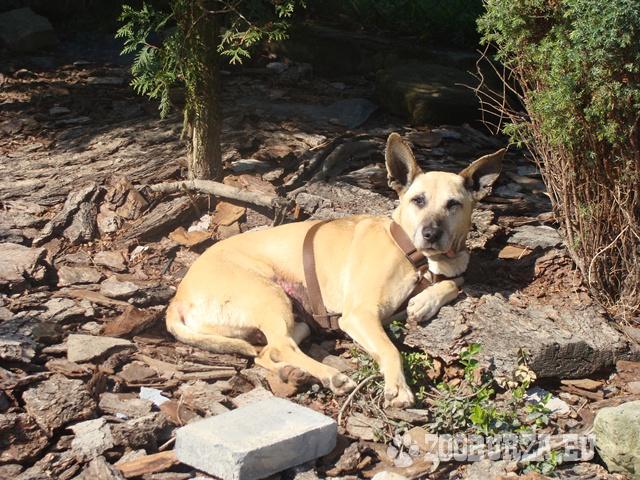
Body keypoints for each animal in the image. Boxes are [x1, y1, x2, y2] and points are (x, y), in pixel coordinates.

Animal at [167, 133, 504, 408]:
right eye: (417, 200)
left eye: (453, 204)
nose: (431, 234)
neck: (412, 251)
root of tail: (177, 300)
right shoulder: (359, 315)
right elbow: (390, 349)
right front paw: (398, 388)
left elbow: (456, 282)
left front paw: (425, 301)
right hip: (269, 296)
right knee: (281, 345)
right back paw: (331, 375)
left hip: (294, 319)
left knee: (268, 352)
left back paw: (294, 373)